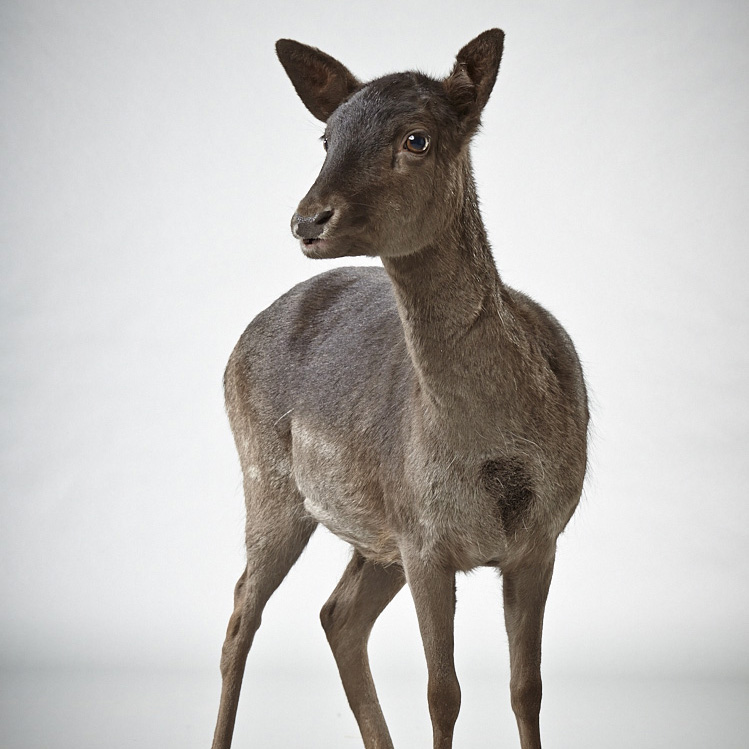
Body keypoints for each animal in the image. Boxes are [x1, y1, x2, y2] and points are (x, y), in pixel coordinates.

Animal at [211, 28, 588, 749]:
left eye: (417, 138)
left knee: (336, 613)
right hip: (267, 480)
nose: (308, 220)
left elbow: (526, 687)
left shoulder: (541, 537)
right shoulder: (425, 539)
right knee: (242, 609)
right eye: (326, 136)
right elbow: (443, 692)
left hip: (374, 532)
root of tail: (235, 349)